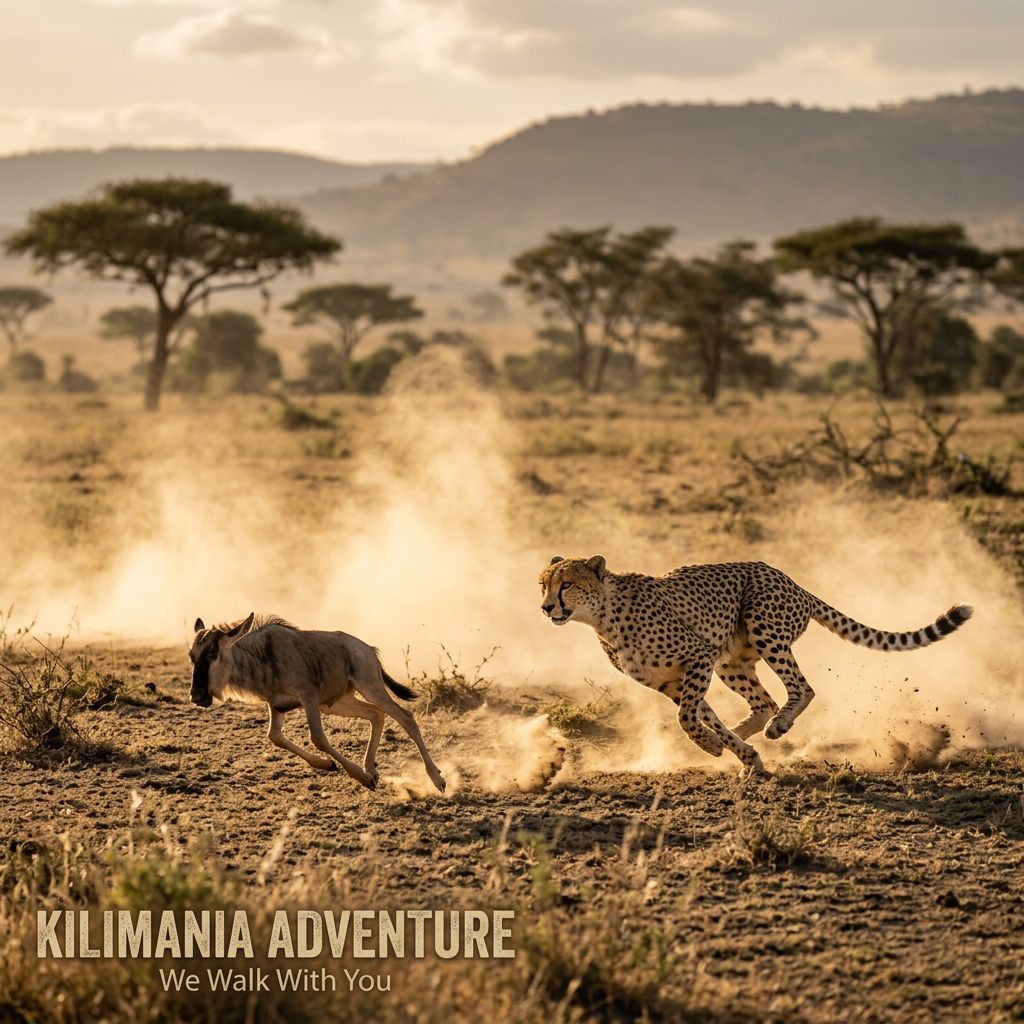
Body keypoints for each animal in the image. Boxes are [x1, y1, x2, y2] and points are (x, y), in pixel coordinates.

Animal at [538, 554, 973, 775]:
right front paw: (735, 751)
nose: (545, 607)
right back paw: (749, 734)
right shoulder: (675, 681)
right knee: (762, 702)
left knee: (801, 688)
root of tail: (794, 583)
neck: (603, 615)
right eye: (543, 584)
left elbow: (686, 718)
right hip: (732, 661)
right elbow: (699, 716)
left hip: (764, 627)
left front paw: (717, 747)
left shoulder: (698, 656)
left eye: (567, 584)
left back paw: (777, 726)